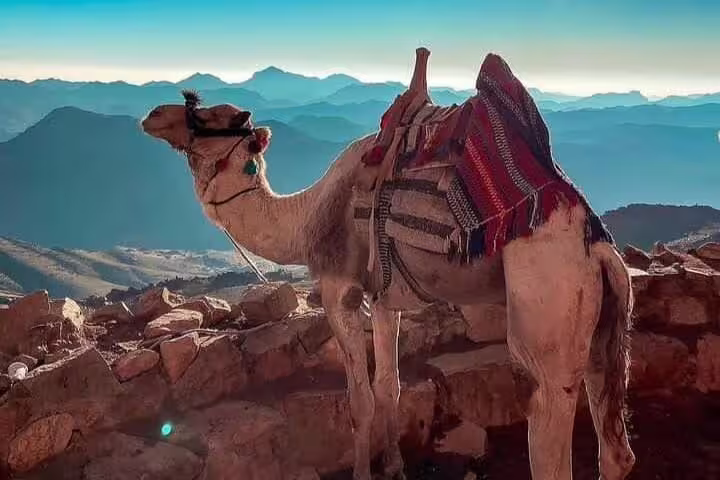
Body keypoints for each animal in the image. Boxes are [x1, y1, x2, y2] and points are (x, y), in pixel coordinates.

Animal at [141, 48, 635, 480]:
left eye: (212, 117)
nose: (154, 115)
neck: (307, 217)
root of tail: (599, 250)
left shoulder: (340, 288)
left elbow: (359, 398)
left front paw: (363, 472)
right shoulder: (384, 299)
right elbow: (389, 387)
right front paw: (395, 466)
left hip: (550, 308)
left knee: (549, 431)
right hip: (601, 326)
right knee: (616, 452)